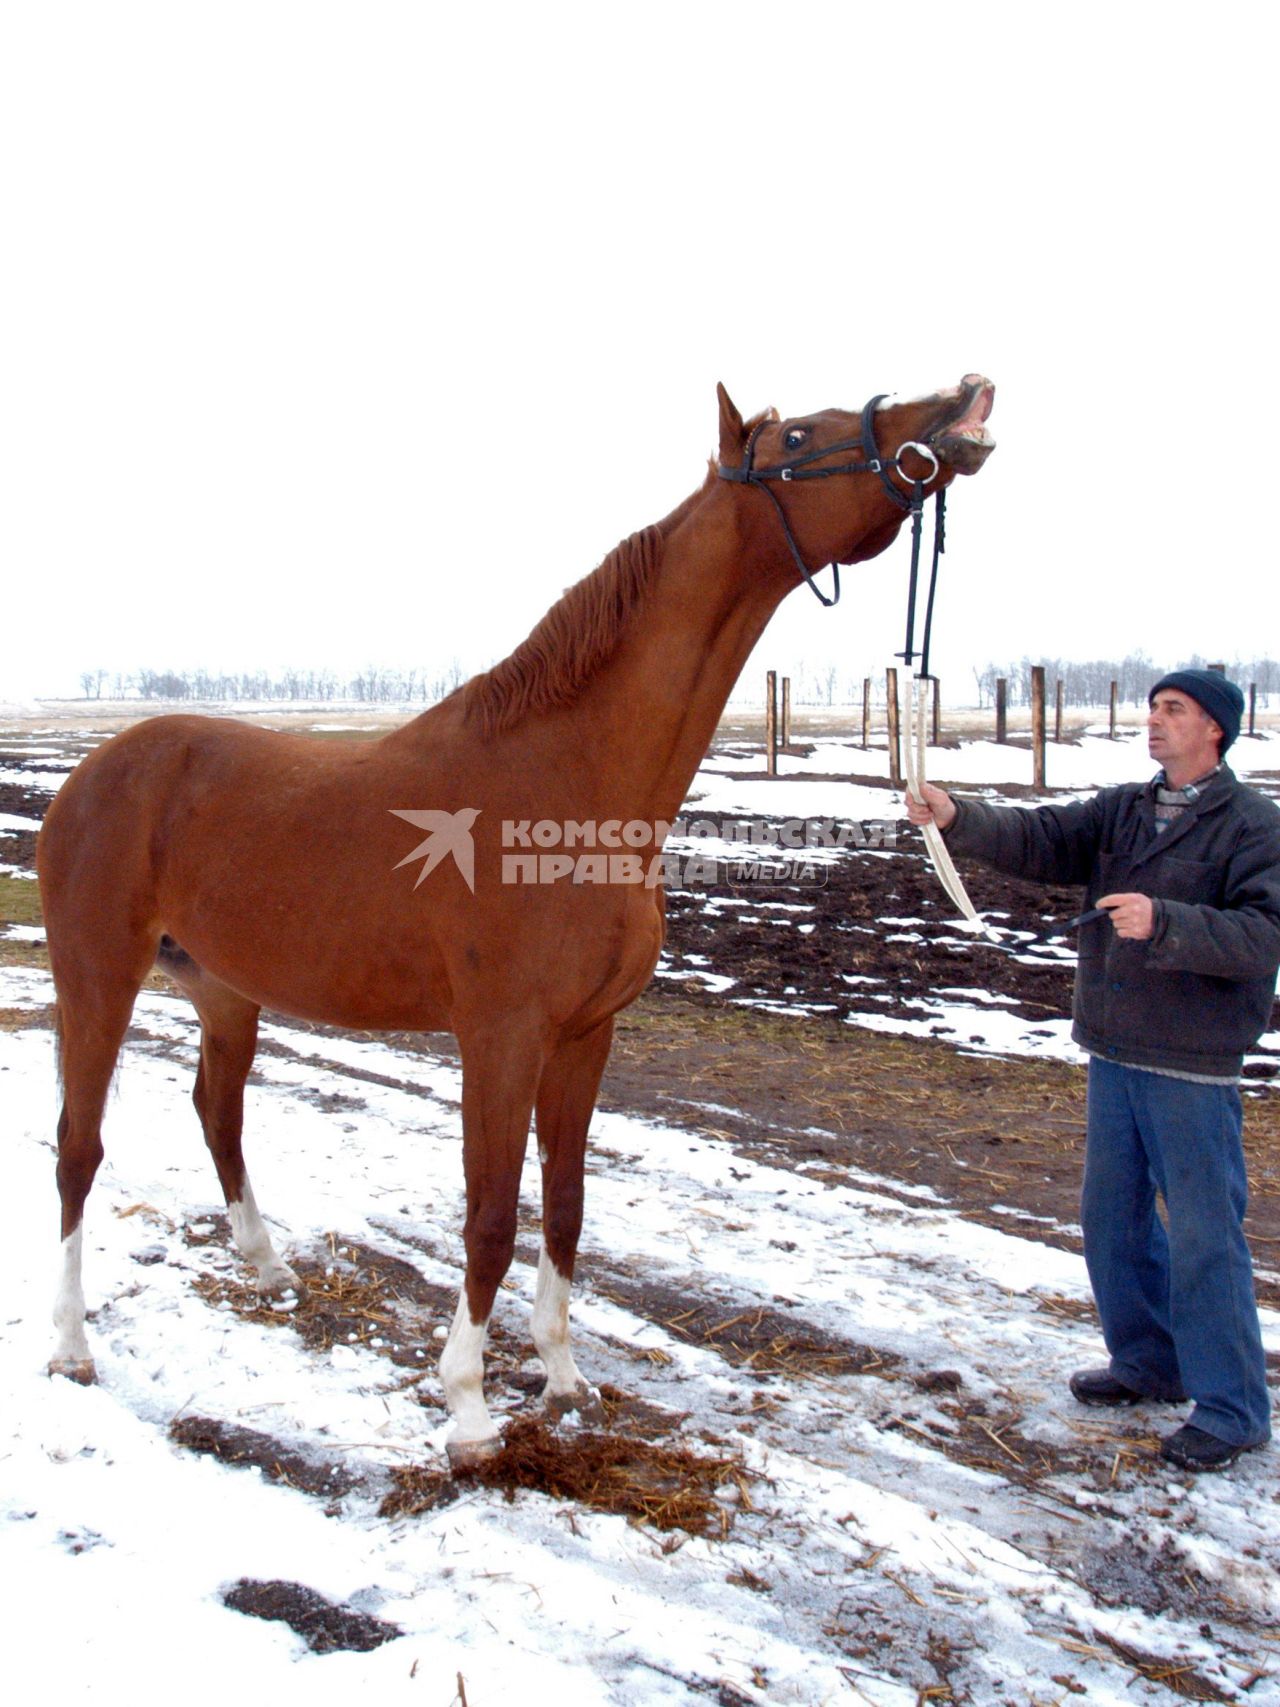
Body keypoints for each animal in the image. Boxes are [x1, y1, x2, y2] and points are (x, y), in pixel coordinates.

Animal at [40, 377, 996, 1468]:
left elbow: (567, 1208)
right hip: (97, 979)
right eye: (800, 437)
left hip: (224, 991)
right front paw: (466, 1406)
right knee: (77, 1148)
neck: (569, 778)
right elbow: (493, 1214)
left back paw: (267, 1265)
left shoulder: (586, 1035)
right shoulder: (499, 1037)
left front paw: (565, 1379)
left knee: (218, 1113)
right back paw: (70, 1345)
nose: (960, 403)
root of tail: (94, 773)